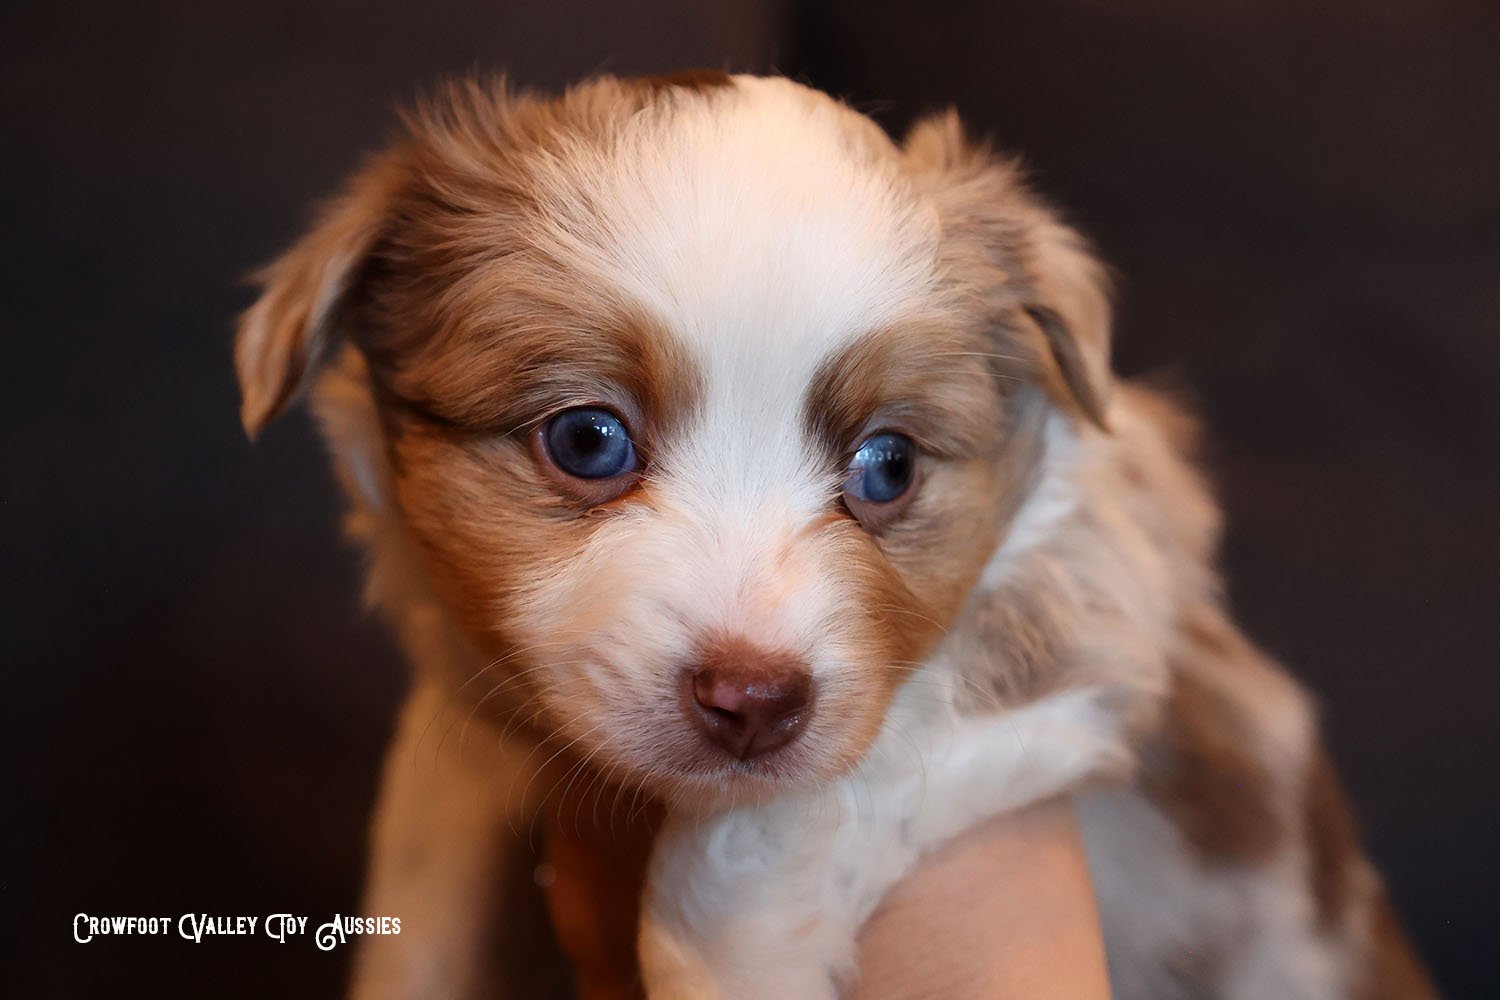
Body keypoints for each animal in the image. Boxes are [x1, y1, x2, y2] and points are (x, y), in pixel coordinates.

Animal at [237, 74, 1440, 995]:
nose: (753, 700)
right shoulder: (466, 698)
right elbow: (426, 867)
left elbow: (757, 843)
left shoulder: (1099, 584)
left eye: (888, 466)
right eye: (587, 439)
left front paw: (732, 960)